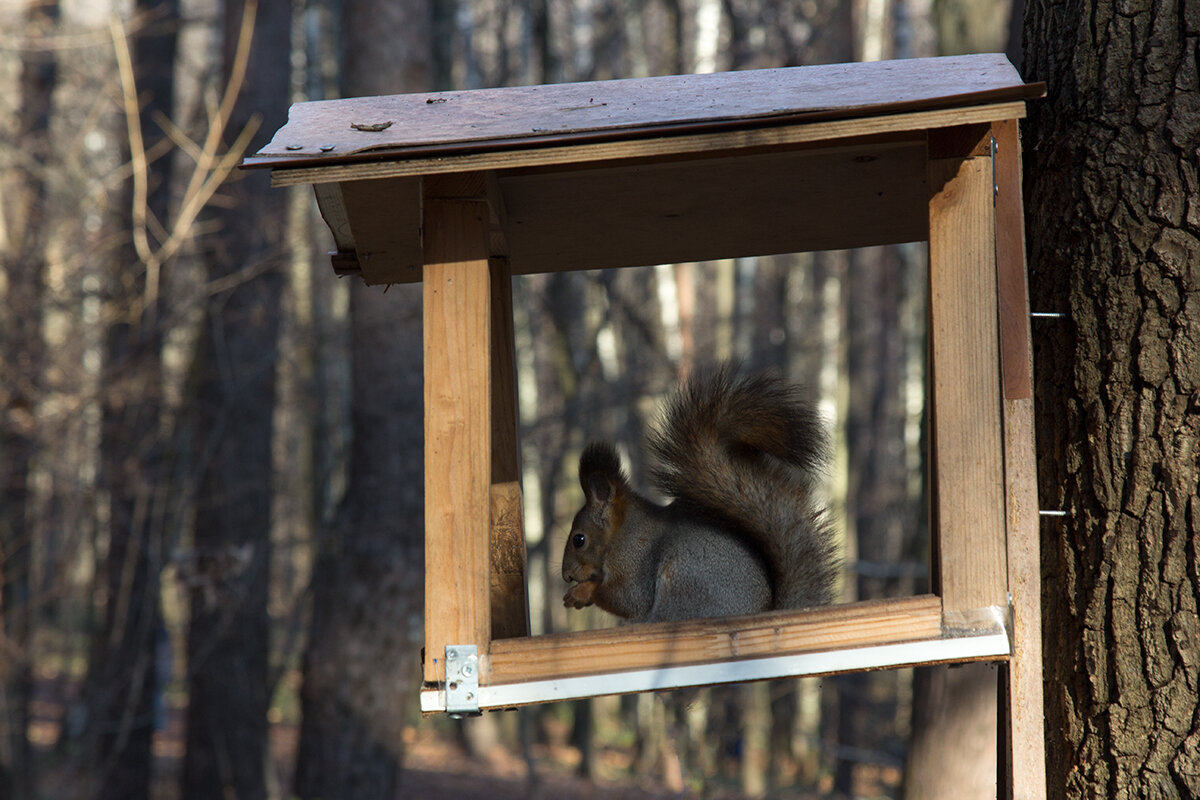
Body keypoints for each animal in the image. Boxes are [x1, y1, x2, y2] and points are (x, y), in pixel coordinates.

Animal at [559, 367, 835, 623]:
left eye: (579, 540)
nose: (566, 575)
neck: (621, 535)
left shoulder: (635, 563)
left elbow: (627, 598)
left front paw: (581, 592)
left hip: (684, 587)